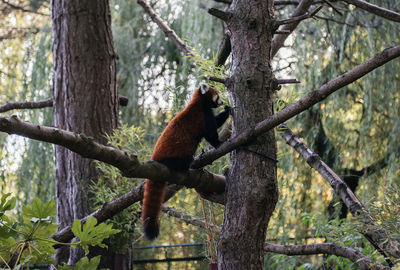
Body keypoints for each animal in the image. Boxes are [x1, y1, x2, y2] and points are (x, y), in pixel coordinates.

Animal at [141, 83, 230, 239]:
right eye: (217, 96)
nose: (222, 102)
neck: (199, 103)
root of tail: (156, 159)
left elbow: (217, 121)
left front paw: (227, 111)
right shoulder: (203, 117)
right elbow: (210, 134)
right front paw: (219, 143)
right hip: (175, 156)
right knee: (183, 159)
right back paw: (185, 167)